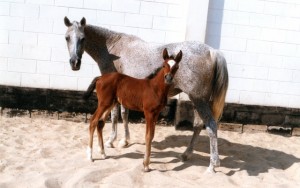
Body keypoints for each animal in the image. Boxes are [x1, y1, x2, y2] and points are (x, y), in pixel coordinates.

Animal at [63, 16, 227, 173]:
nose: (74, 63)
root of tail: (213, 52)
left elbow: (115, 115)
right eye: (67, 37)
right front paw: (124, 141)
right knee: (199, 125)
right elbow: (124, 114)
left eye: (83, 38)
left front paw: (111, 141)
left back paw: (212, 165)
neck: (113, 47)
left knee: (211, 125)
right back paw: (186, 154)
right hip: (199, 100)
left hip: (199, 99)